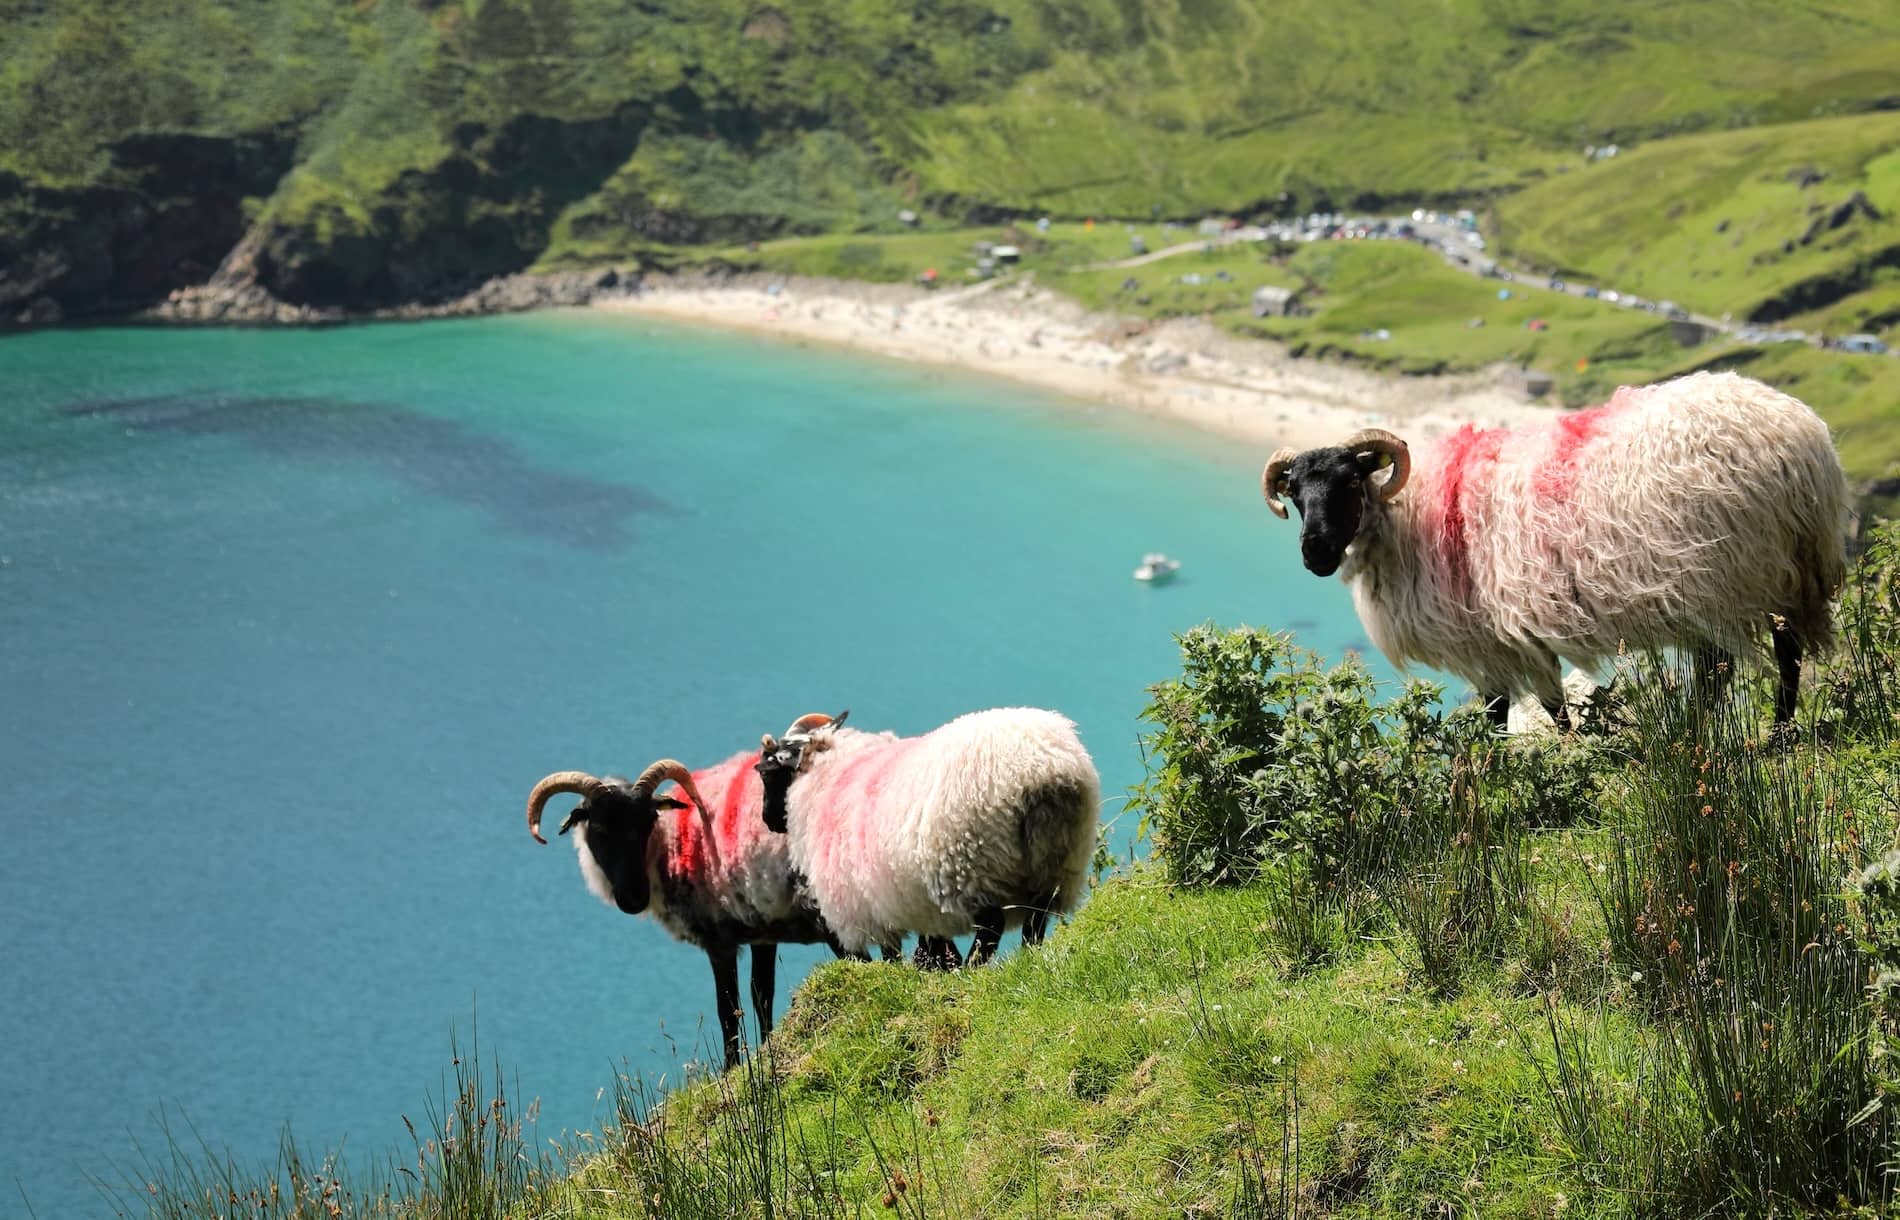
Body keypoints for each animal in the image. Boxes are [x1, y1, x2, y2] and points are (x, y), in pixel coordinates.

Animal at [525, 753, 837, 1069]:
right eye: (599, 827)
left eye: (648, 822)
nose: (634, 899)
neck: (668, 848)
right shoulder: (763, 932)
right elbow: (761, 995)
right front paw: (767, 1051)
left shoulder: (719, 941)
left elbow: (727, 1009)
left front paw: (731, 1068)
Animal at [754, 708, 1102, 964]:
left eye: (768, 774)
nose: (768, 820)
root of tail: (1043, 769)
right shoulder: (913, 905)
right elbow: (930, 949)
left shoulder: (866, 905)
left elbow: (891, 956)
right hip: (1056, 862)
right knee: (1035, 922)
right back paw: (1028, 959)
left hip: (972, 865)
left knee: (991, 927)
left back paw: (972, 971)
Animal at [1259, 371, 1849, 727]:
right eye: (1295, 493)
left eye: (1350, 484)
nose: (1314, 554)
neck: (1409, 517)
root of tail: (1800, 432)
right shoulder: (1494, 643)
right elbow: (1502, 715)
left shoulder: (1506, 638)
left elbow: (1542, 709)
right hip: (1765, 570)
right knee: (1740, 661)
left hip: (1739, 568)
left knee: (1769, 656)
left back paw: (1770, 734)